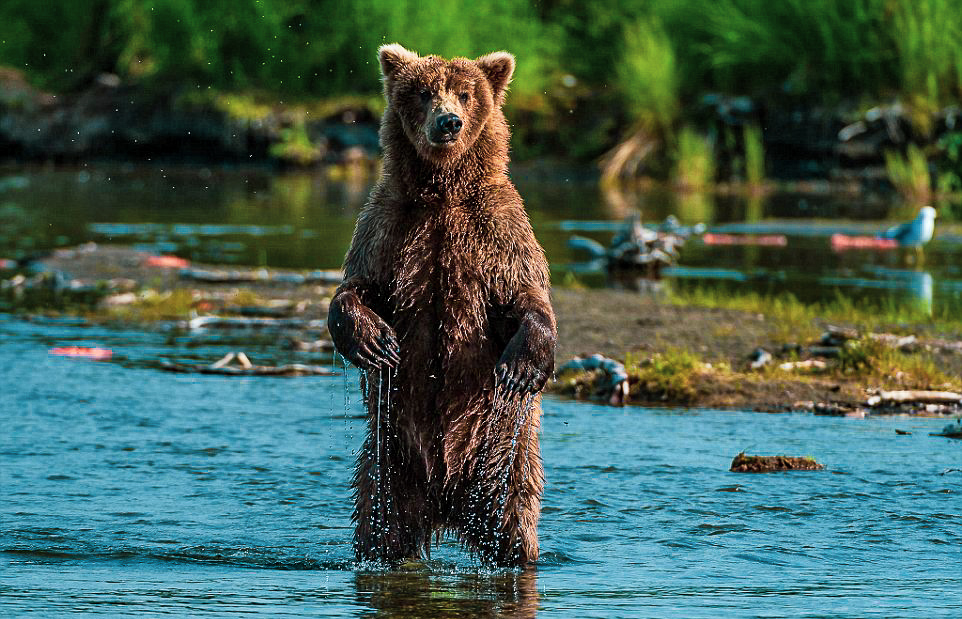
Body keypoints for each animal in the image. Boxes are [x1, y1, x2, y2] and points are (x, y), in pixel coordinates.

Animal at [326, 42, 556, 568]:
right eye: (424, 92)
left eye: (466, 93)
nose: (448, 122)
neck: (442, 192)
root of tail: (447, 506)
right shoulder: (390, 226)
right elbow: (356, 285)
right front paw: (375, 342)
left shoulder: (495, 231)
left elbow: (526, 293)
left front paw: (522, 366)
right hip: (389, 462)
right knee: (379, 523)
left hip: (504, 458)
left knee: (516, 522)